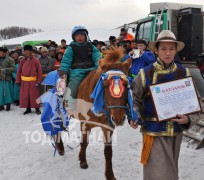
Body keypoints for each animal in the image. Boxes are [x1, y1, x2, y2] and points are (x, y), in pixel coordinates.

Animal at [56, 47, 131, 180]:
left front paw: (109, 175)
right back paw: (59, 147)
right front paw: (83, 160)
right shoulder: (85, 124)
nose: (118, 118)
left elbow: (108, 152)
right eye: (105, 85)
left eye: (126, 84)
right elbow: (84, 143)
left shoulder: (108, 126)